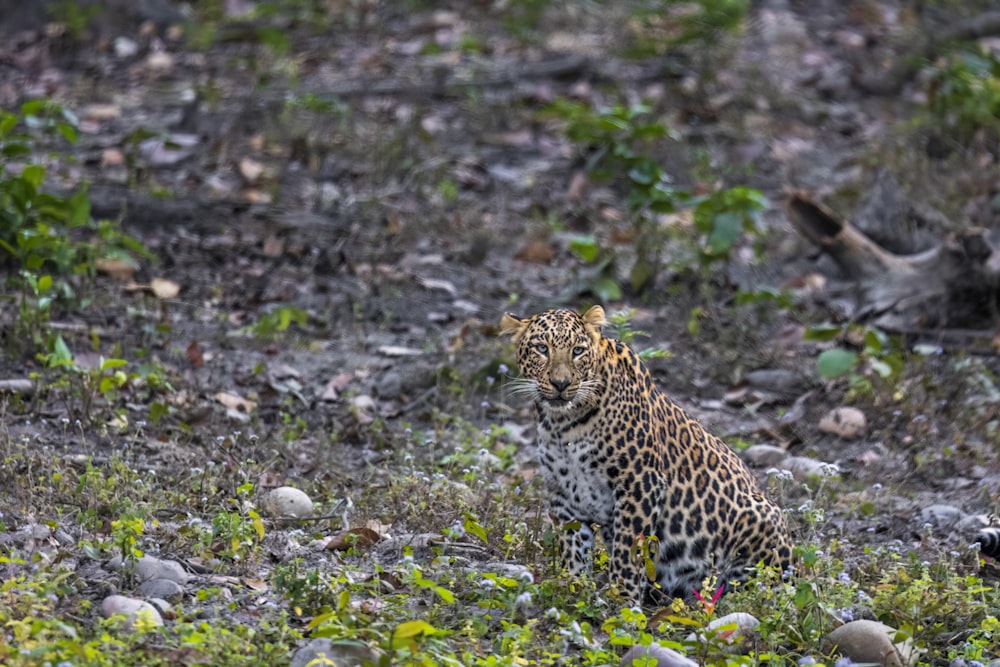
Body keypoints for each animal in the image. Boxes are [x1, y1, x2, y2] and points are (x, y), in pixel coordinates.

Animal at [500, 306, 796, 604]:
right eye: (542, 348)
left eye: (578, 351)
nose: (561, 384)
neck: (564, 424)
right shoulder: (564, 495)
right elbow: (573, 549)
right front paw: (574, 589)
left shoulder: (639, 483)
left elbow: (627, 551)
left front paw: (622, 599)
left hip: (764, 521)